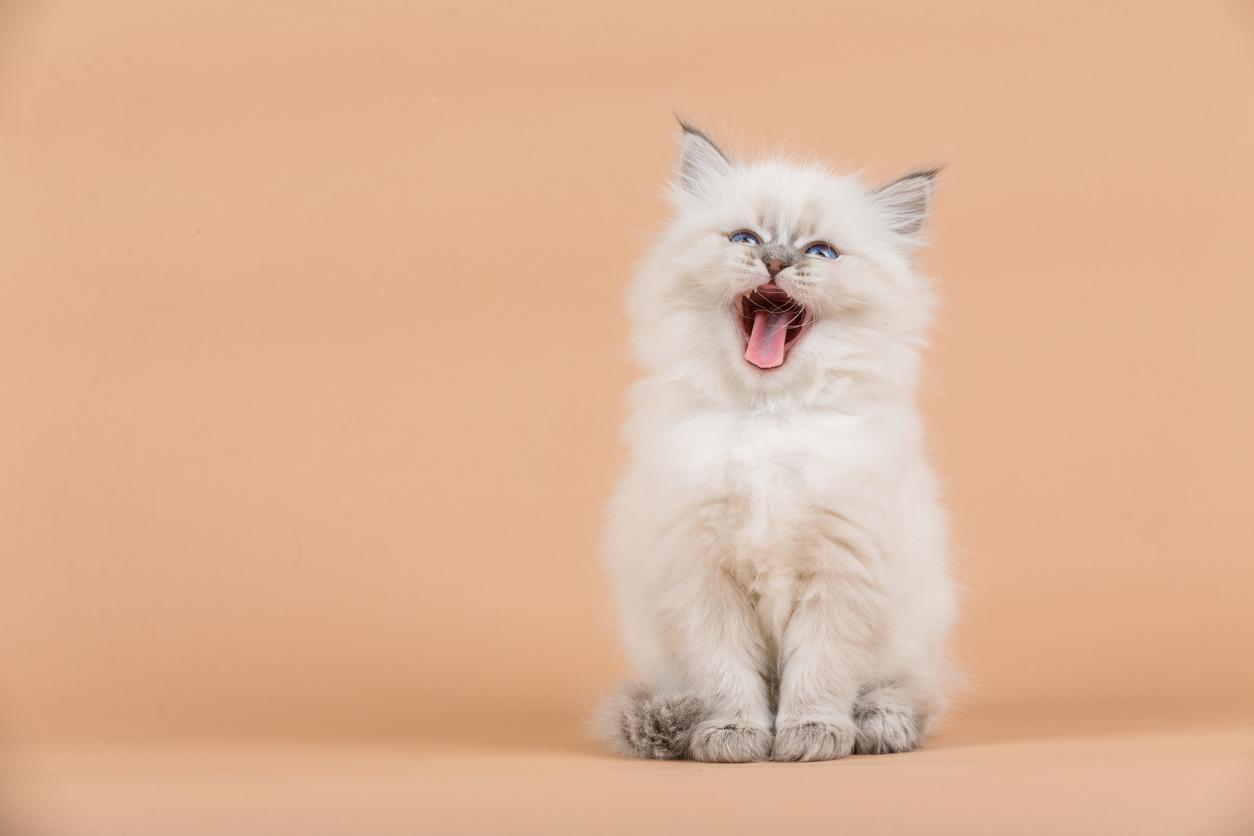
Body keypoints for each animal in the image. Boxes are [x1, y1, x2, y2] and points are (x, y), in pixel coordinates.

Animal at [596, 125, 958, 767]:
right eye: (746, 238)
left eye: (820, 252)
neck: (768, 422)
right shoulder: (700, 574)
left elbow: (819, 670)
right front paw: (734, 735)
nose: (774, 261)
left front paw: (811, 735)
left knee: (911, 693)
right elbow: (726, 675)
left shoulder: (843, 567)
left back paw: (880, 724)